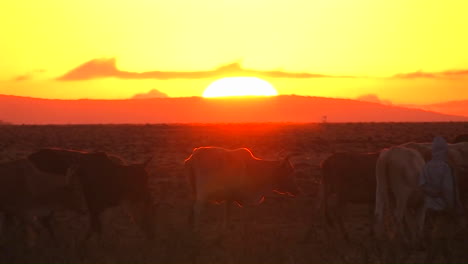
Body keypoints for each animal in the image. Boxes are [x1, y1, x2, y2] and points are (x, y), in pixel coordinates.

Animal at [27, 147, 155, 242]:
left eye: (146, 179)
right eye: (136, 180)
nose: (148, 197)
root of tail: (31, 157)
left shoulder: (99, 208)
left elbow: (94, 229)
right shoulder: (93, 206)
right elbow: (96, 228)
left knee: (44, 221)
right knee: (44, 221)